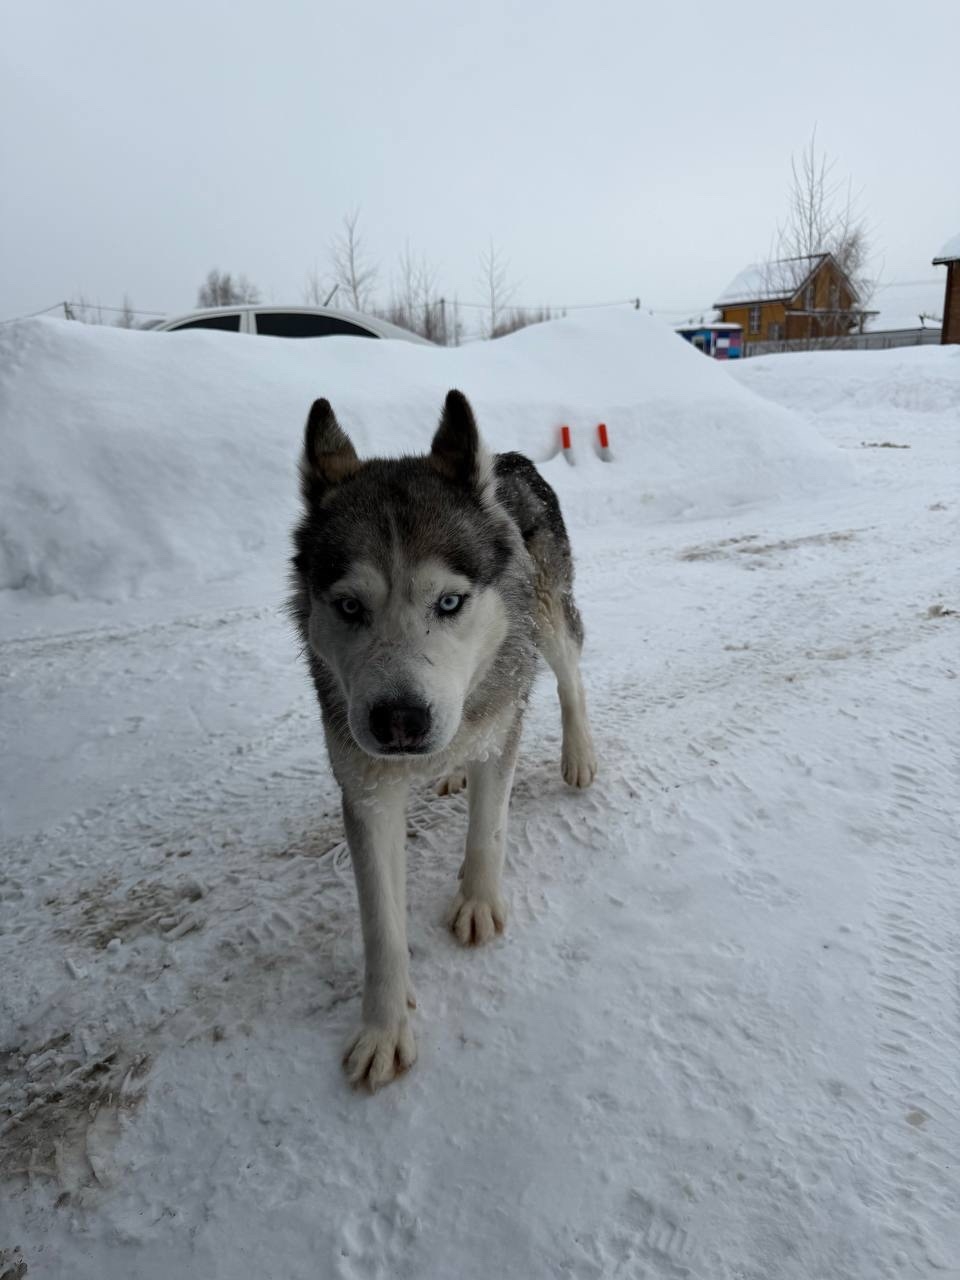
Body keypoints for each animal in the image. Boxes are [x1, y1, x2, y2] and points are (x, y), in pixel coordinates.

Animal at [290, 389, 596, 1089]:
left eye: (450, 603)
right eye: (349, 607)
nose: (400, 721)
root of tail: (509, 459)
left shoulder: (500, 728)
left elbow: (489, 830)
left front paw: (477, 900)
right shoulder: (366, 788)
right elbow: (379, 925)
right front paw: (384, 1028)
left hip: (548, 622)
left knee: (570, 678)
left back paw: (580, 753)